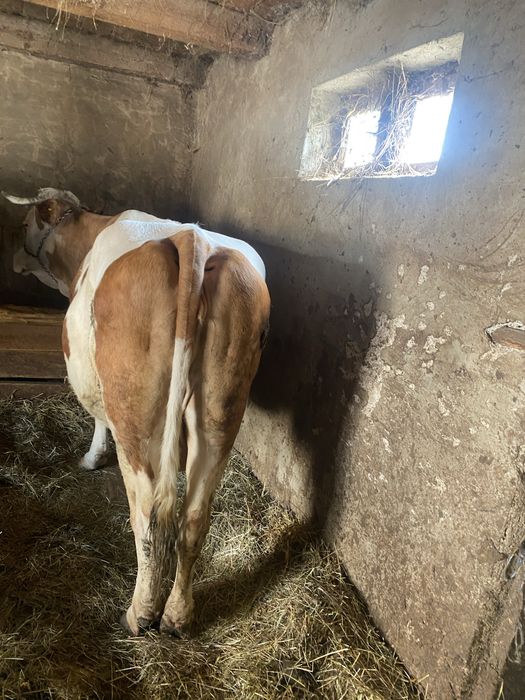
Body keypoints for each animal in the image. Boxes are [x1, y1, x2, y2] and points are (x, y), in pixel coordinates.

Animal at [4, 188, 270, 637]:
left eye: (25, 224)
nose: (14, 261)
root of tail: (193, 239)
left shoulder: (94, 379)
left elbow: (97, 418)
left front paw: (91, 458)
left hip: (135, 414)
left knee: (149, 515)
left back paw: (141, 613)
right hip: (222, 409)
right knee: (193, 519)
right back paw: (178, 617)